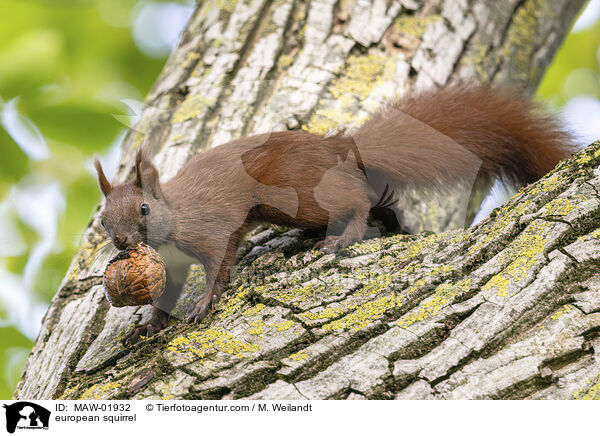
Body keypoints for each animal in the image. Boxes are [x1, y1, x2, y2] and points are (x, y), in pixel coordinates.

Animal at [94, 84, 572, 344]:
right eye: (102, 220)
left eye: (143, 208)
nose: (122, 242)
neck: (172, 221)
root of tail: (341, 149)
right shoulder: (172, 266)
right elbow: (165, 296)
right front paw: (148, 326)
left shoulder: (211, 228)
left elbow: (218, 263)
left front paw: (205, 301)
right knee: (378, 202)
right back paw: (387, 225)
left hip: (298, 195)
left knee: (356, 201)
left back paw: (345, 237)